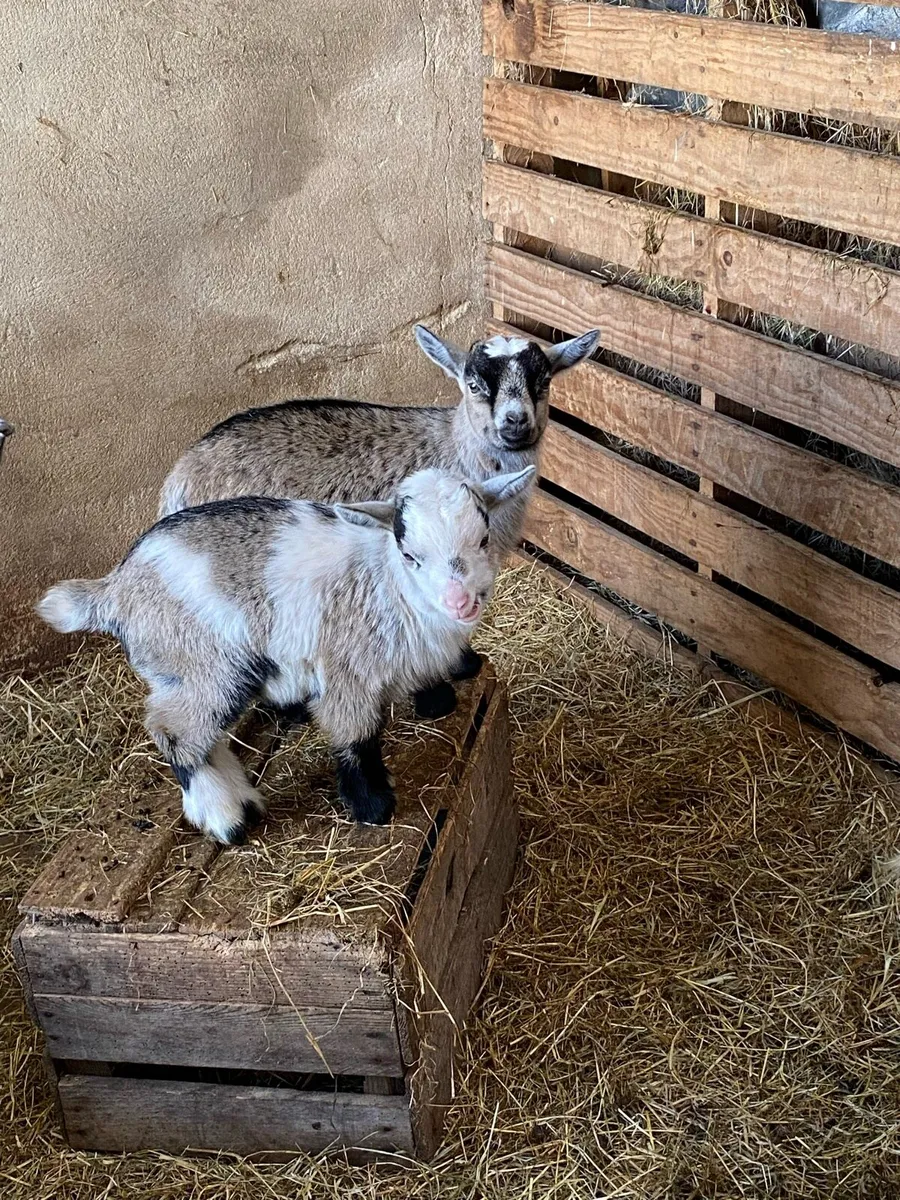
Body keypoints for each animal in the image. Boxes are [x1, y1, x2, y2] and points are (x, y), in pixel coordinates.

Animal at [38, 466, 534, 844]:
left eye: (484, 538)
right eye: (410, 554)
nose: (460, 602)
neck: (386, 581)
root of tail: (112, 590)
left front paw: (441, 694)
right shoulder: (346, 671)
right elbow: (356, 737)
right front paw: (373, 806)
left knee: (200, 734)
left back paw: (243, 798)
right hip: (204, 664)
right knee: (176, 731)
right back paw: (226, 819)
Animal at [158, 325, 599, 717]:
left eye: (543, 381)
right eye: (473, 385)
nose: (515, 422)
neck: (455, 448)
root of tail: (180, 475)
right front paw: (442, 687)